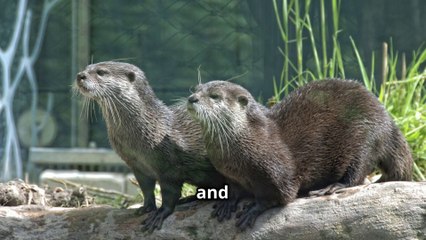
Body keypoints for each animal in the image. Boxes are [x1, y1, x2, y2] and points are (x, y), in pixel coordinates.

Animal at [75, 62, 235, 232]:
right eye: (87, 67)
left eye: (101, 72)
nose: (80, 75)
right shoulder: (137, 166)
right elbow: (146, 189)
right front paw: (146, 207)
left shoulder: (170, 167)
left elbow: (170, 193)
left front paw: (161, 213)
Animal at [186, 79, 412, 231]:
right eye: (195, 89)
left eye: (215, 96)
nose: (192, 98)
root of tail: (388, 121)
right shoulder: (231, 175)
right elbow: (234, 190)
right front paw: (228, 202)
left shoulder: (278, 172)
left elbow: (280, 196)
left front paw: (254, 208)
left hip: (366, 137)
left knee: (356, 174)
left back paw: (331, 187)